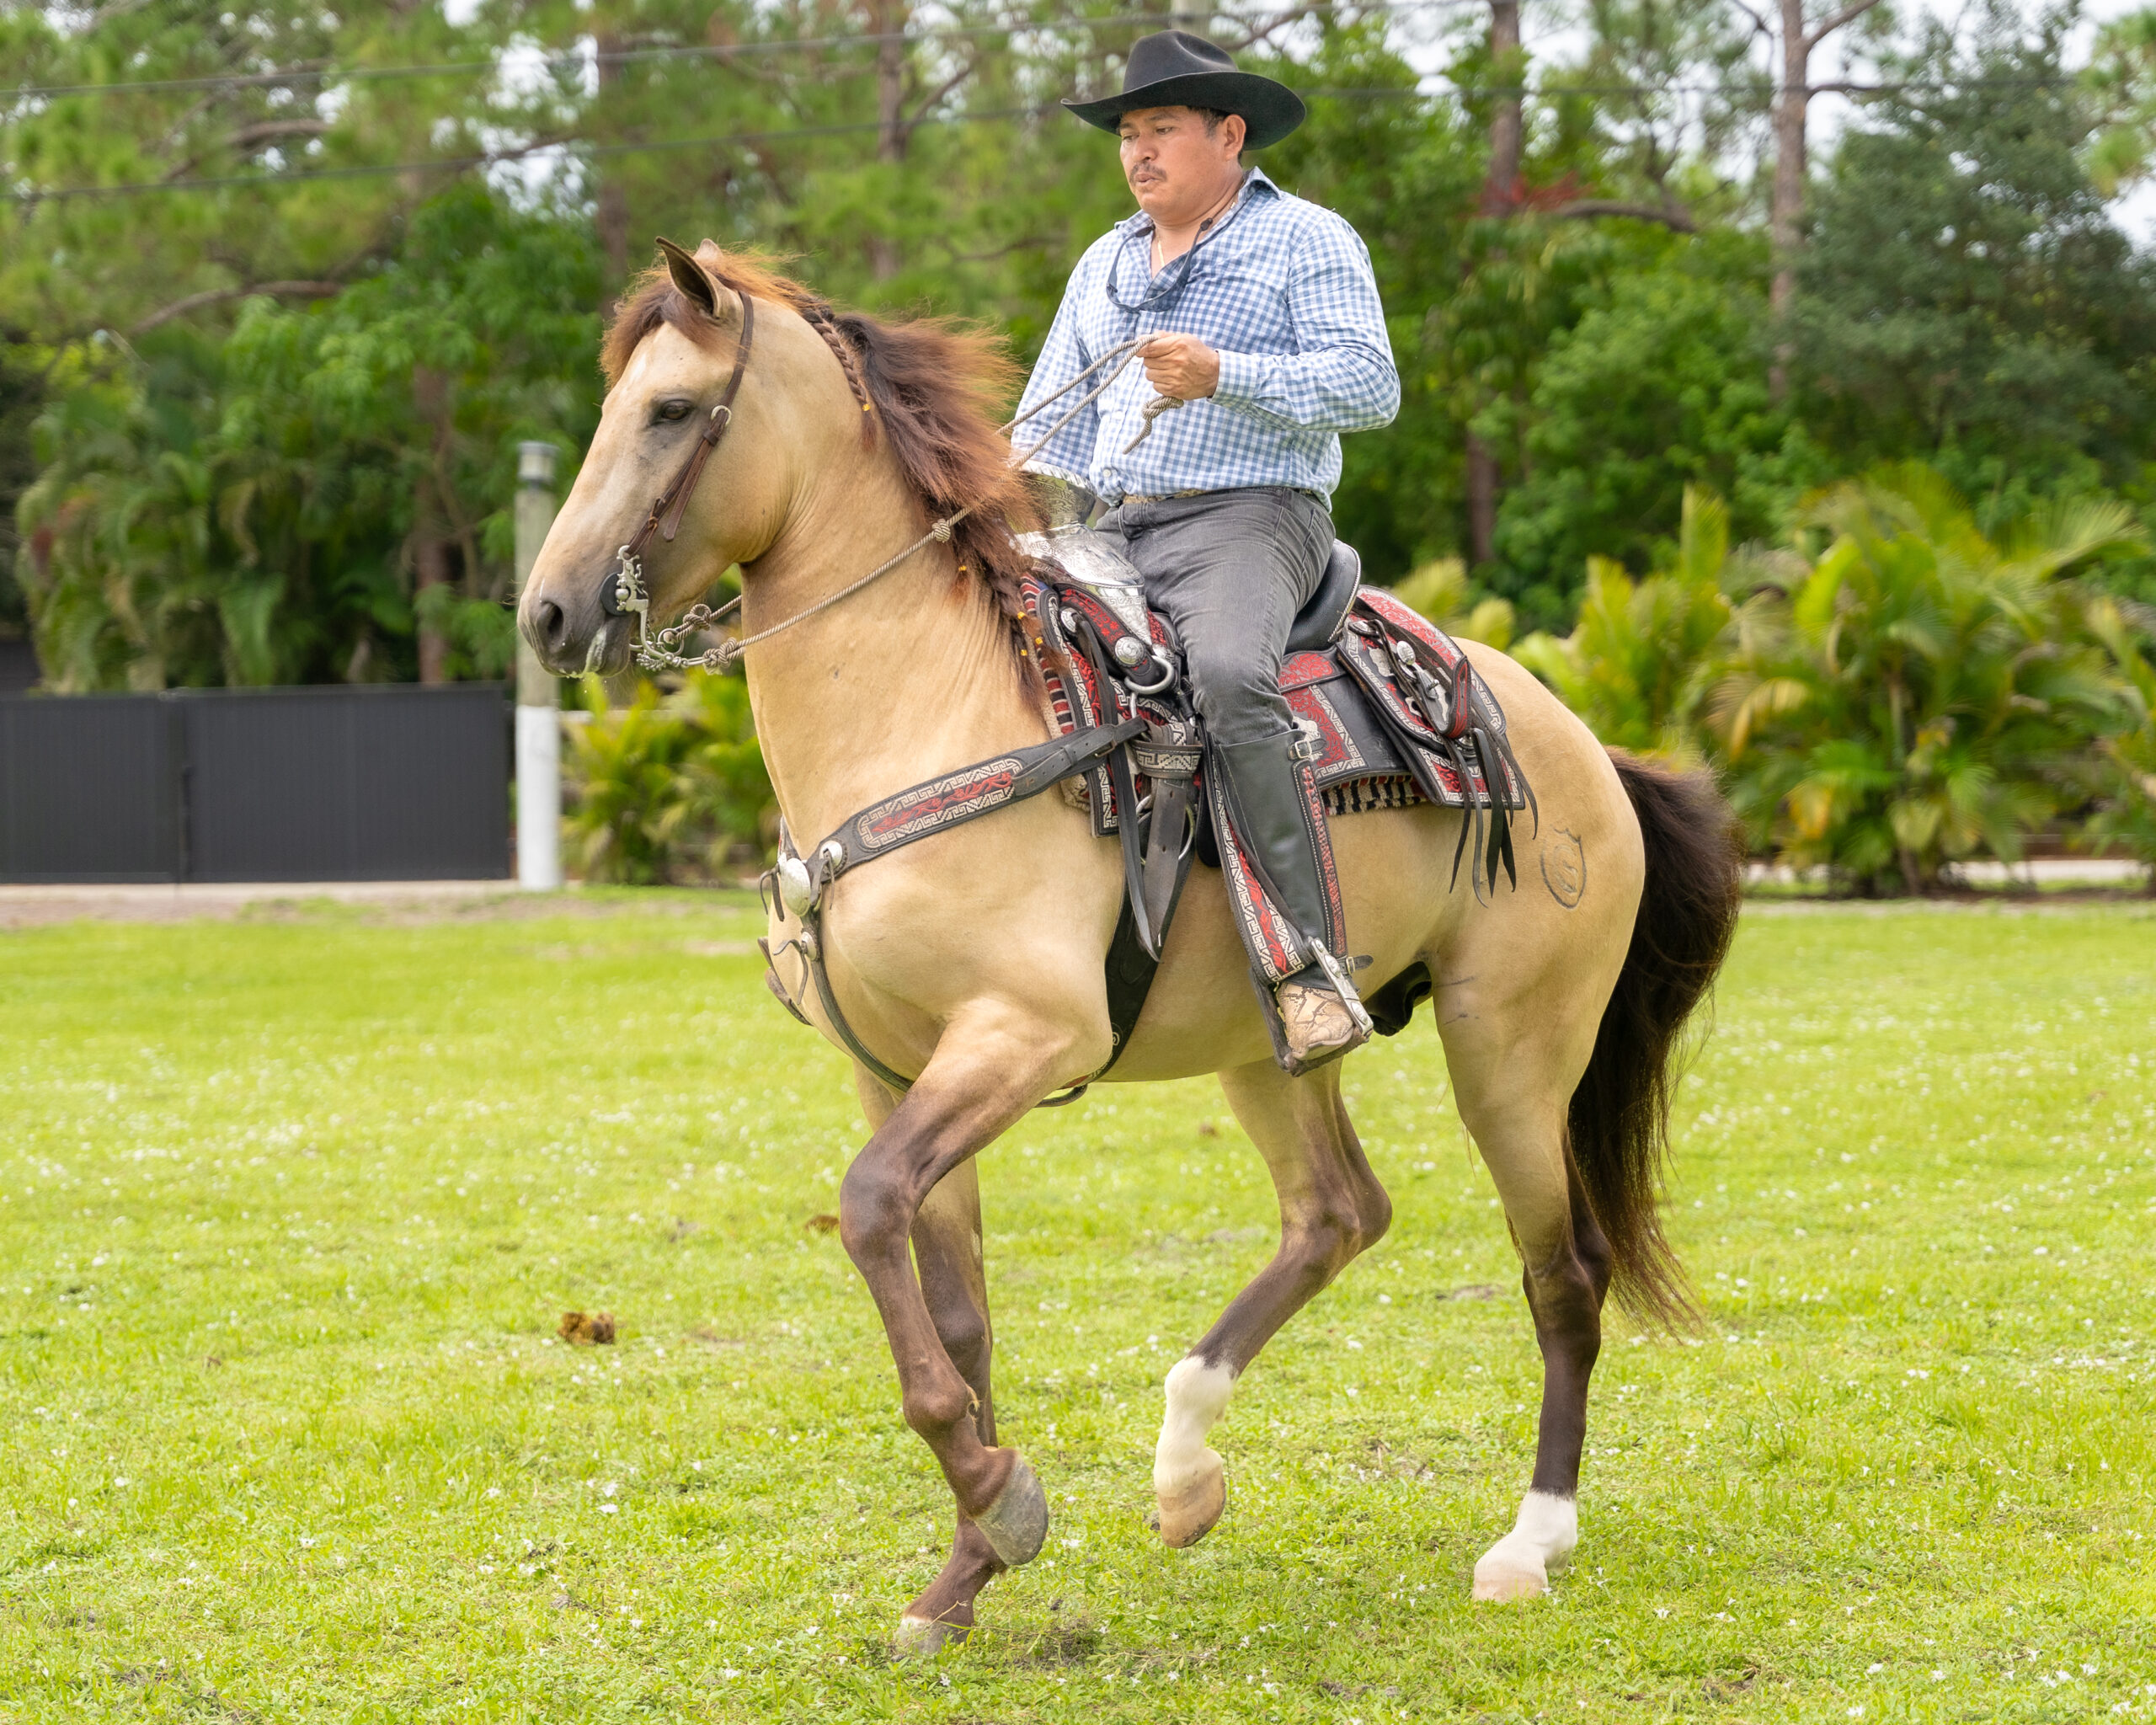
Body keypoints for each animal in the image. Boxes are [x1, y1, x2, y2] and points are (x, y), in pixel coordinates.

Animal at [519, 239, 1743, 1651]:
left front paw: (998, 1498)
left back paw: (1528, 1544)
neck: (926, 708)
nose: (546, 615)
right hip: (1275, 1050)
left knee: (1563, 1275)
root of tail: (1585, 745)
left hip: (1512, 1052)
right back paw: (1185, 1469)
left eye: (670, 411)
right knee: (1336, 1214)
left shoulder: (1024, 1034)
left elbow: (872, 1208)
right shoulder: (898, 1067)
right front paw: (967, 1567)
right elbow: (952, 1310)